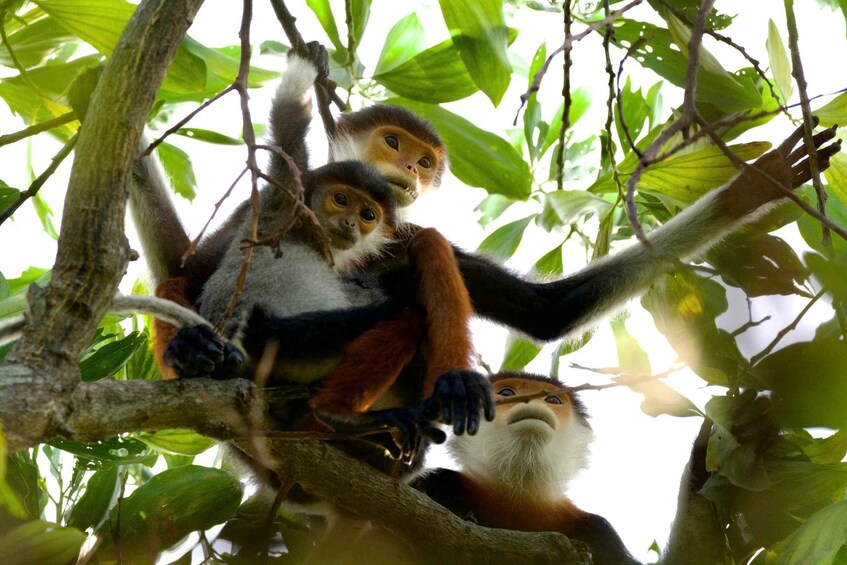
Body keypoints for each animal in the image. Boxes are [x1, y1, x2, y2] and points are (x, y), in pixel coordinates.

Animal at [413, 372, 641, 565]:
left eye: (553, 400)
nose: (531, 400)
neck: (519, 493)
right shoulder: (439, 480)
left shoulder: (601, 532)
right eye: (506, 393)